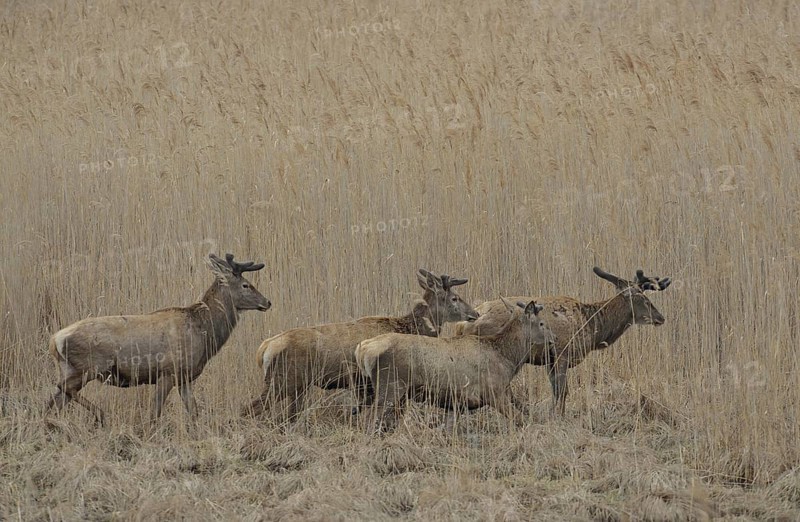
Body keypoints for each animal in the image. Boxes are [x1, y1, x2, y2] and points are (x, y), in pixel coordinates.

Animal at [44, 253, 271, 425]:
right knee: (63, 388)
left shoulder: (184, 377)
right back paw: (100, 415)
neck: (204, 332)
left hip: (71, 367)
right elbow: (155, 413)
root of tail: (55, 340)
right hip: (91, 366)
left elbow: (194, 411)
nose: (267, 302)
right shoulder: (167, 371)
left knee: (53, 401)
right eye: (246, 285)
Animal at [243, 269, 480, 423]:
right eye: (455, 298)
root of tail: (264, 349)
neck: (409, 327)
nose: (475, 314)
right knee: (249, 408)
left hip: (298, 386)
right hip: (282, 381)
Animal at [355, 299, 556, 433]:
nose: (554, 338)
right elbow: (521, 420)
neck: (508, 359)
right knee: (367, 417)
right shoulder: (493, 392)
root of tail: (363, 349)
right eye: (542, 323)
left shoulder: (458, 403)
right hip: (391, 385)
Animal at [455, 267, 671, 416]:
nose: (661, 317)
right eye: (645, 300)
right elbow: (562, 391)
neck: (593, 327)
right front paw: (558, 416)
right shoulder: (562, 352)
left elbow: (557, 390)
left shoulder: (550, 360)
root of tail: (461, 325)